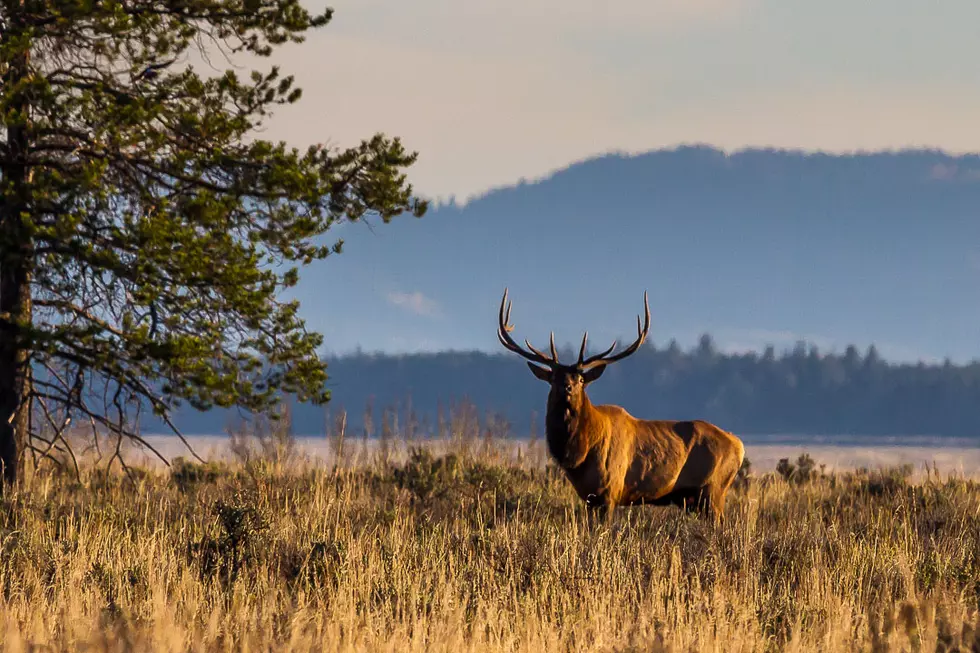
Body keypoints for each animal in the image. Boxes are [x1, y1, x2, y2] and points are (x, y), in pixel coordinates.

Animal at [498, 288, 744, 524]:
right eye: (554, 377)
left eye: (580, 379)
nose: (566, 387)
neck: (580, 455)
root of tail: (738, 445)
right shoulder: (589, 498)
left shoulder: (610, 491)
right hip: (696, 499)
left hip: (713, 489)